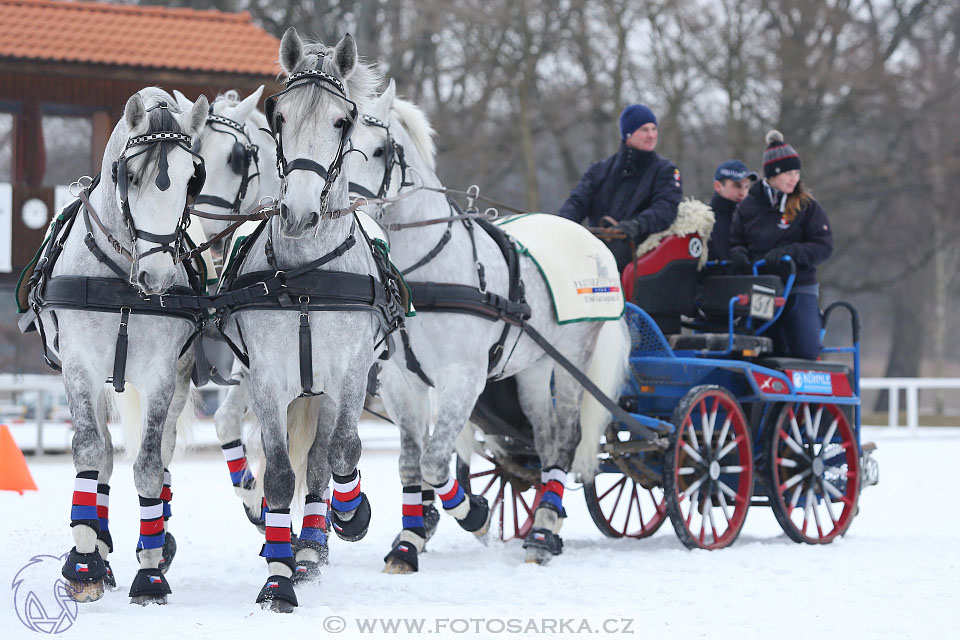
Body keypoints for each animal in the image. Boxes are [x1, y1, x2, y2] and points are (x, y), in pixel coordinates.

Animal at [26, 87, 209, 604]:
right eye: (130, 176)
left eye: (191, 179)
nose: (159, 277)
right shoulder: (80, 367)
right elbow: (91, 451)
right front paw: (85, 563)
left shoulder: (162, 374)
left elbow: (149, 465)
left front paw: (150, 573)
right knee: (104, 453)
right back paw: (97, 544)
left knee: (161, 452)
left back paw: (156, 542)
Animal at [215, 28, 402, 608]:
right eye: (279, 118)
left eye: (342, 121)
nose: (298, 213)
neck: (305, 279)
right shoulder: (267, 378)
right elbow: (278, 475)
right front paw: (277, 579)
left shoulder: (349, 373)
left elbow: (341, 450)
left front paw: (350, 514)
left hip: (326, 388)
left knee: (324, 458)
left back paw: (320, 537)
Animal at [348, 81, 632, 568]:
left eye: (381, 149)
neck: (424, 274)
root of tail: (596, 244)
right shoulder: (403, 381)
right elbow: (411, 462)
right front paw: (409, 541)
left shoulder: (463, 378)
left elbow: (435, 462)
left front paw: (476, 515)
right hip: (534, 366)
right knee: (543, 438)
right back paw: (543, 521)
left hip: (574, 358)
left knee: (565, 438)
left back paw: (543, 532)